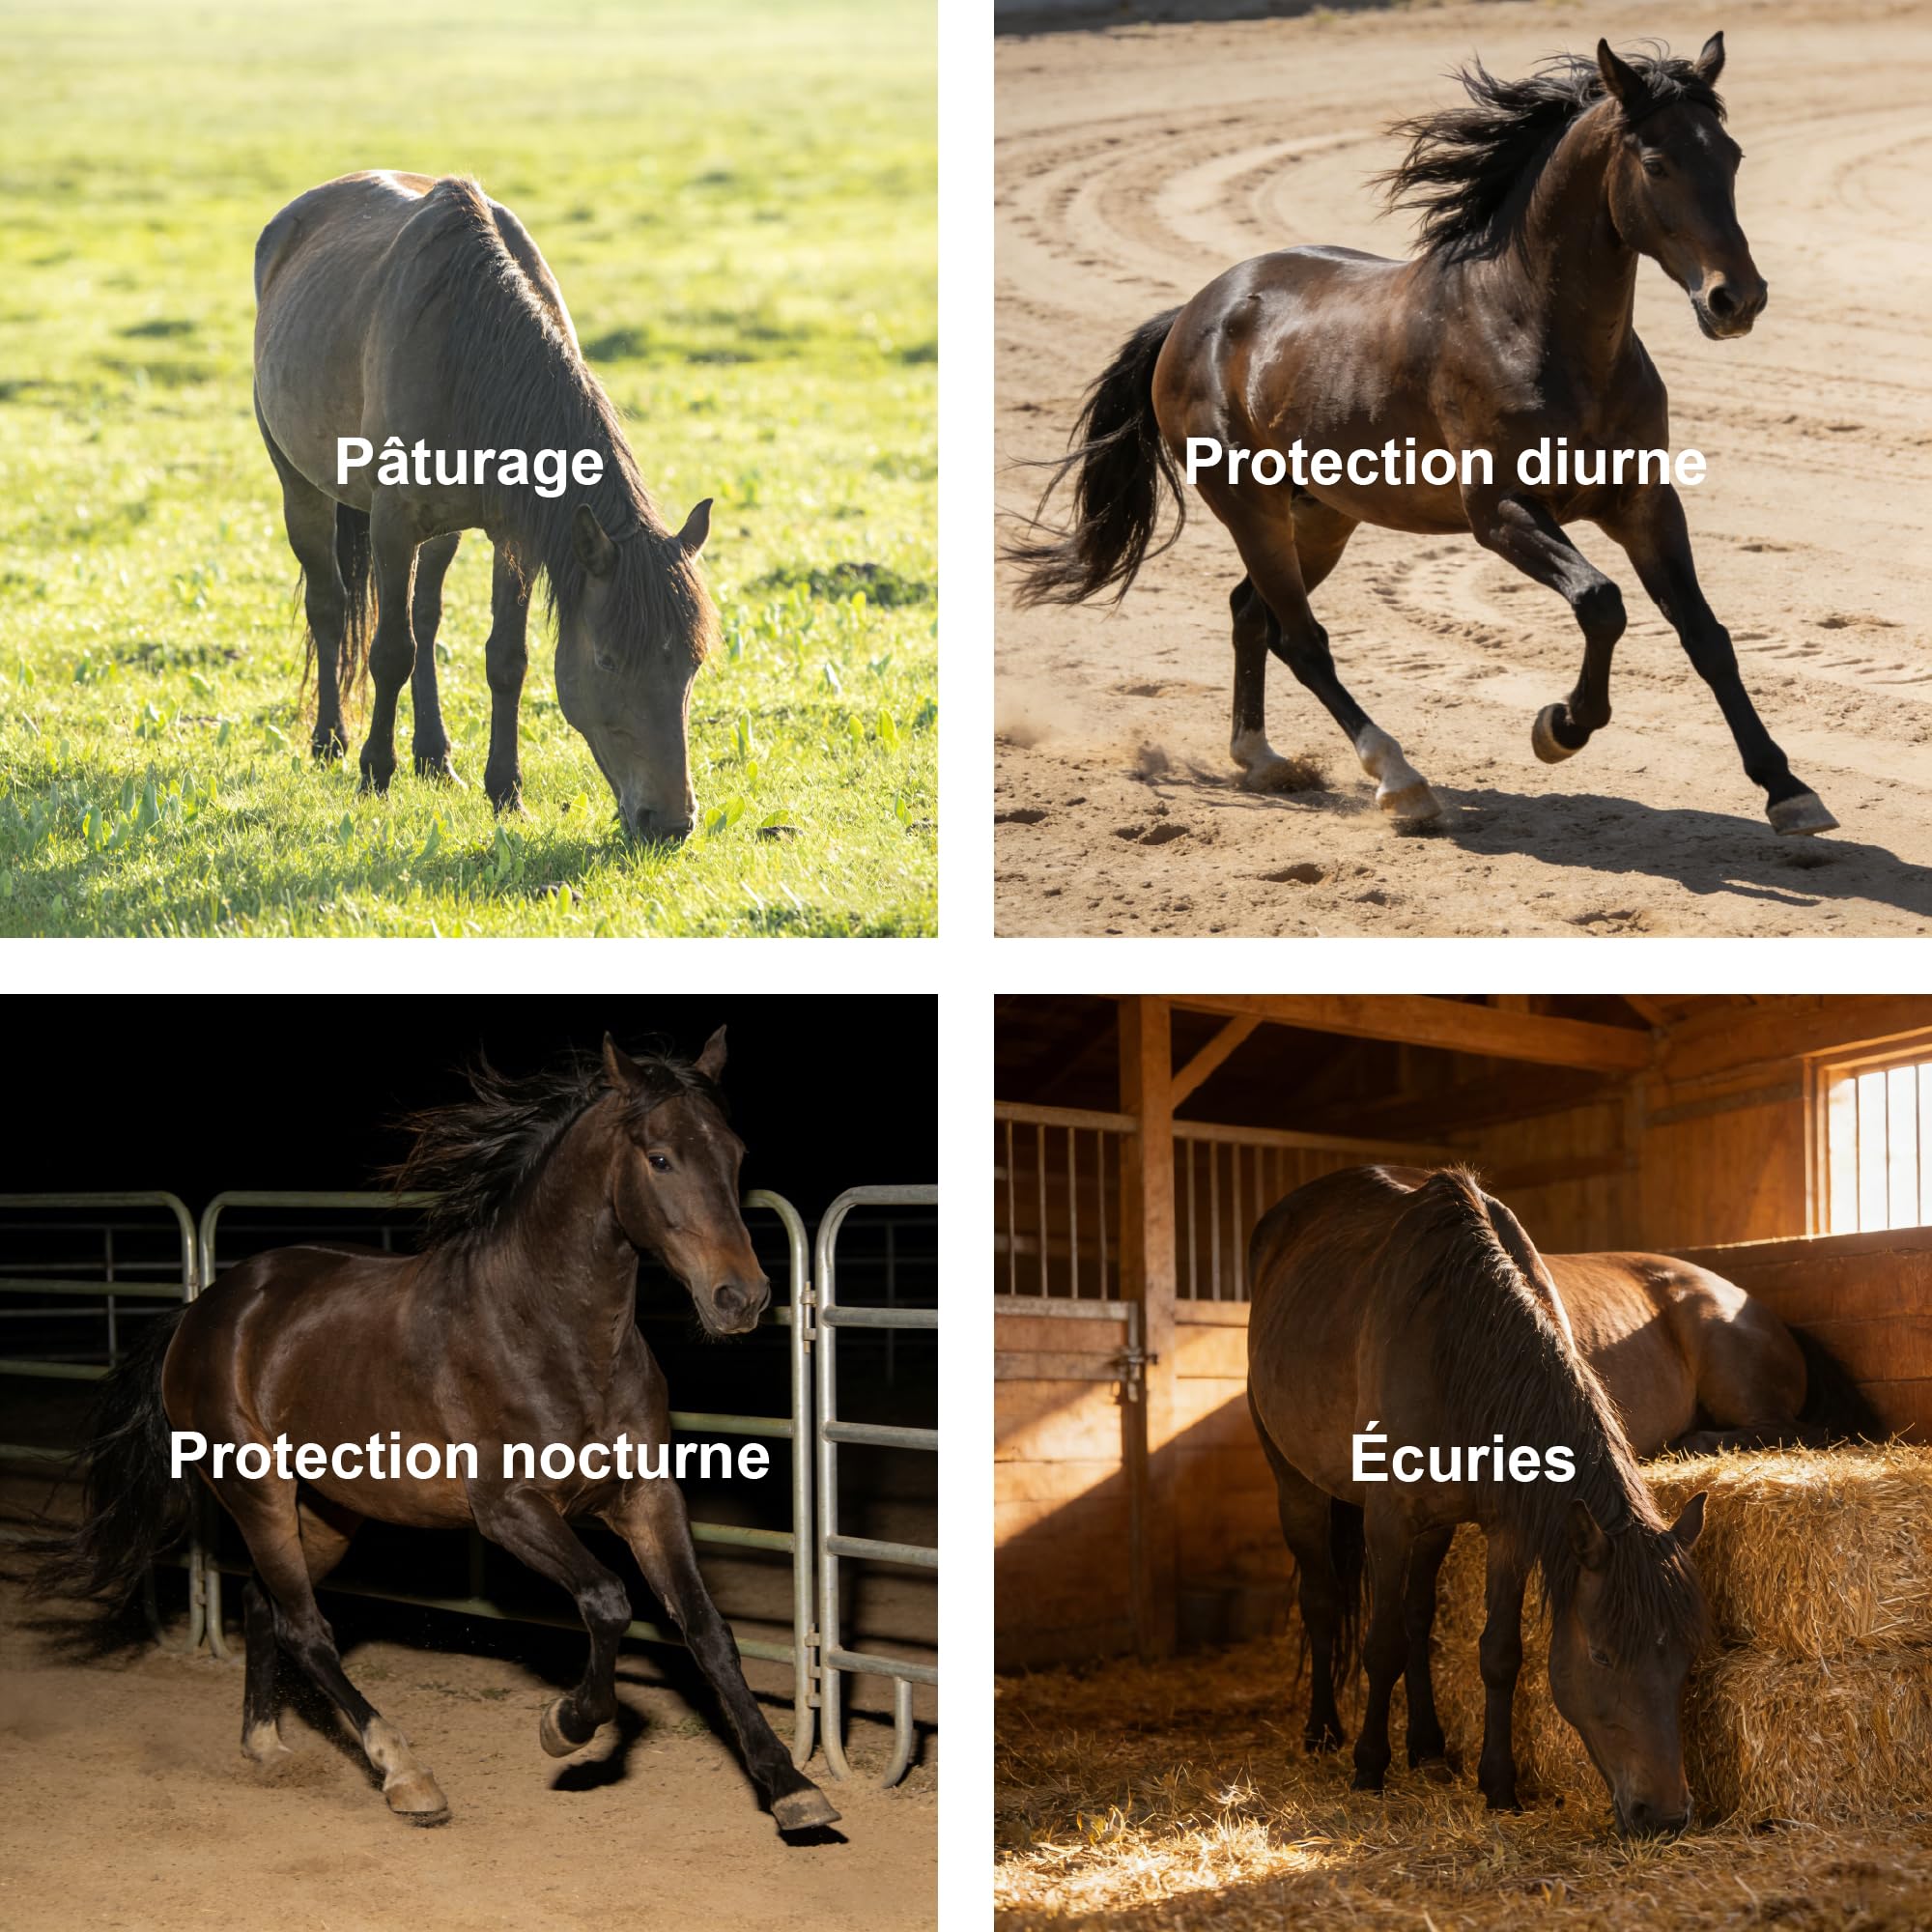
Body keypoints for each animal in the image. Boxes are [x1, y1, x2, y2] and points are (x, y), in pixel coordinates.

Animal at [27, 1030, 839, 1836]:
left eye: (734, 1153)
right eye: (661, 1157)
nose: (742, 1297)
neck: (553, 1335)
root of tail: (202, 1310)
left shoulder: (646, 1497)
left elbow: (709, 1632)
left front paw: (790, 1787)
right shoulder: (509, 1510)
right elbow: (608, 1602)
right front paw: (565, 1725)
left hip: (328, 1511)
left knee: (268, 1606)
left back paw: (266, 1743)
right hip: (256, 1490)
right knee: (307, 1628)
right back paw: (406, 1774)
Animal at [254, 171, 718, 842]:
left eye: (692, 663)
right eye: (607, 661)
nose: (671, 822)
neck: (467, 345)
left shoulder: (512, 535)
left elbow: (506, 660)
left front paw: (505, 790)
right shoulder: (392, 525)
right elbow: (389, 651)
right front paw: (375, 773)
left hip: (441, 531)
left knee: (425, 616)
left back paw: (434, 757)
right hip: (301, 488)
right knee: (331, 606)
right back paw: (331, 742)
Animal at [1006, 36, 1836, 841]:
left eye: (1731, 156)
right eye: (1657, 162)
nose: (1736, 300)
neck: (1533, 331)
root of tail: (1193, 315)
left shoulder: (1644, 503)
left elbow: (1707, 635)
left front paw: (1789, 791)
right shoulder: (1499, 513)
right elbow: (1601, 603)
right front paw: (1560, 727)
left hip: (1320, 516)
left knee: (1252, 613)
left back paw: (1263, 759)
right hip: (1250, 508)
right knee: (1301, 640)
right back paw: (1402, 783)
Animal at [1245, 1164, 1709, 1835]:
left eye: (1685, 1655)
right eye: (1601, 1656)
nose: (1666, 1815)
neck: (1455, 1338)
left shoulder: (1505, 1529)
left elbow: (1498, 1653)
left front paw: (1499, 1785)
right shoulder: (1386, 1522)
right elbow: (1381, 1644)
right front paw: (1369, 1767)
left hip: (1435, 1526)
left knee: (1418, 1616)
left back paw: (1428, 1747)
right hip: (1298, 1488)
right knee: (1324, 1603)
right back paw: (1324, 1733)